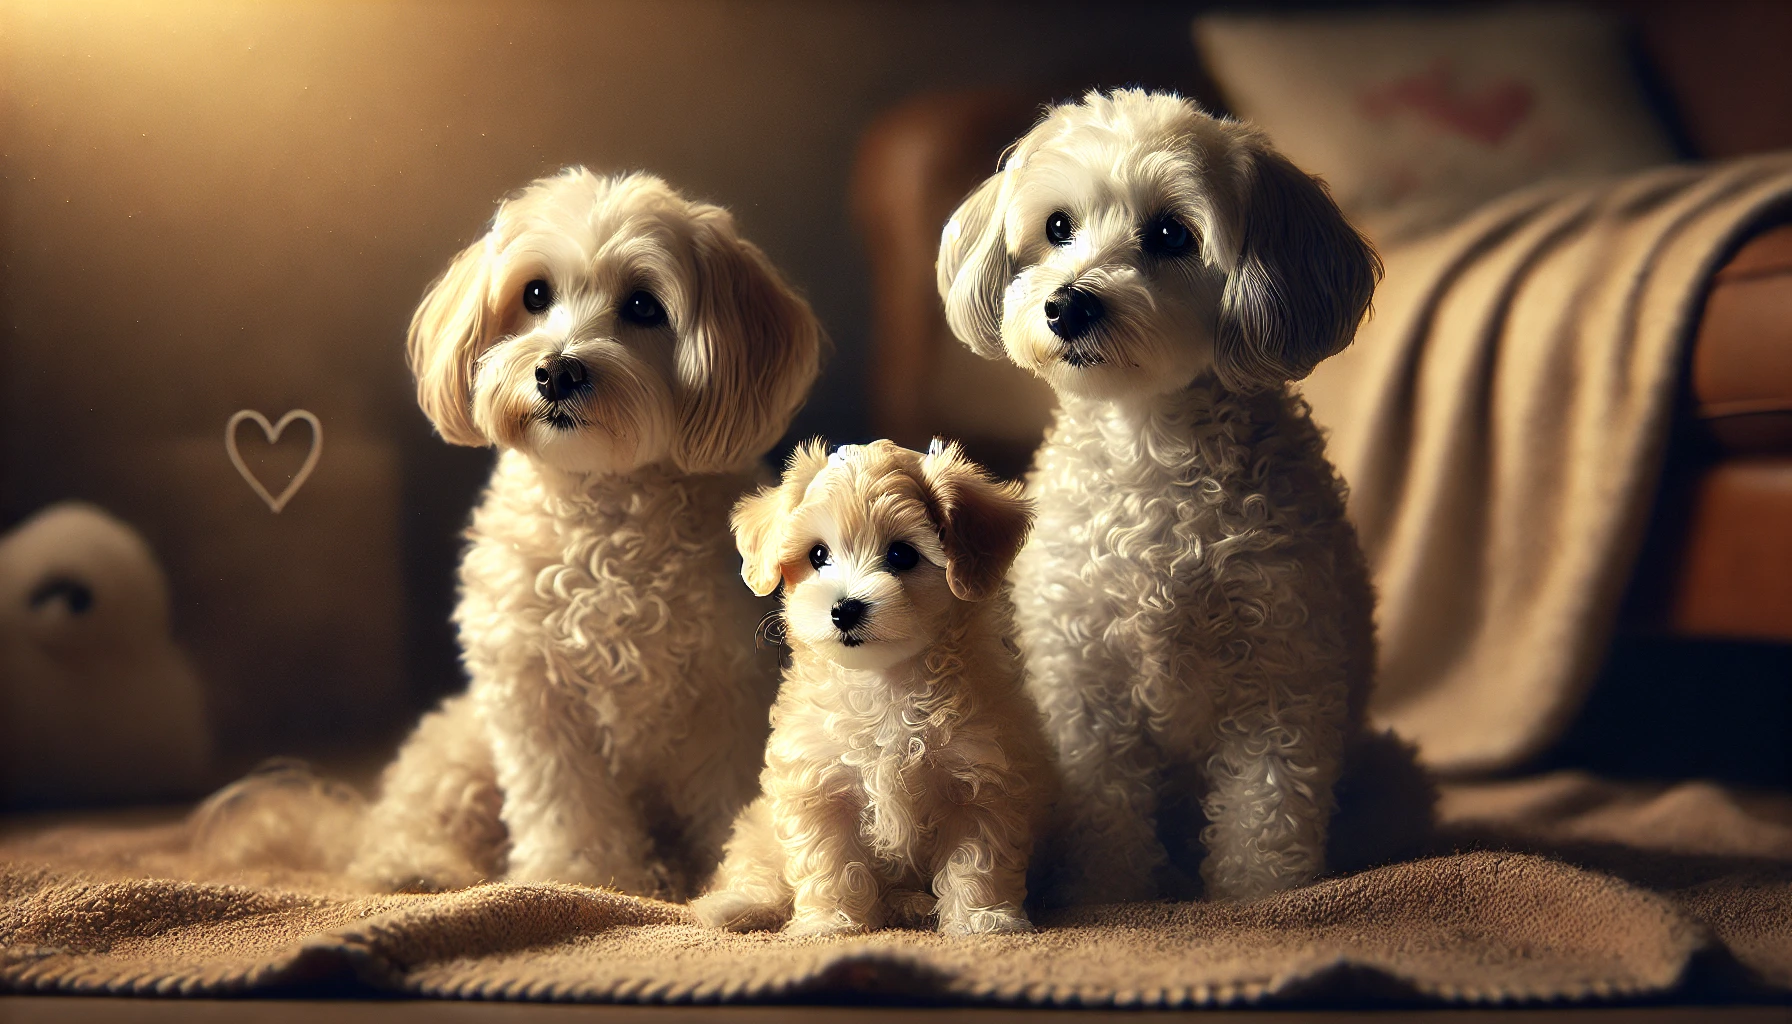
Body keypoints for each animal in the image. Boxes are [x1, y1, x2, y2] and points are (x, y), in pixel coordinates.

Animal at [347, 168, 820, 896]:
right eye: (535, 294)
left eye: (644, 306)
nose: (557, 370)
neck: (602, 503)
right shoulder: (534, 697)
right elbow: (564, 805)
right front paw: (580, 878)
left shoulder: (726, 694)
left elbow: (729, 793)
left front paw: (735, 874)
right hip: (462, 747)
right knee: (407, 816)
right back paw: (414, 866)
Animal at [688, 441, 1046, 939]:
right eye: (818, 555)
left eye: (901, 555)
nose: (844, 609)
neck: (884, 681)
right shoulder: (815, 784)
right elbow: (828, 861)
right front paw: (830, 923)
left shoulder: (982, 780)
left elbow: (978, 860)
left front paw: (982, 921)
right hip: (758, 831)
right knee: (757, 872)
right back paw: (733, 907)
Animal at [931, 90, 1419, 903]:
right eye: (1057, 227)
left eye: (1169, 233)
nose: (1068, 305)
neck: (1150, 445)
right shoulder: (1084, 686)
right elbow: (1106, 808)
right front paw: (1111, 894)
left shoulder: (1281, 678)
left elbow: (1266, 811)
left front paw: (1264, 901)